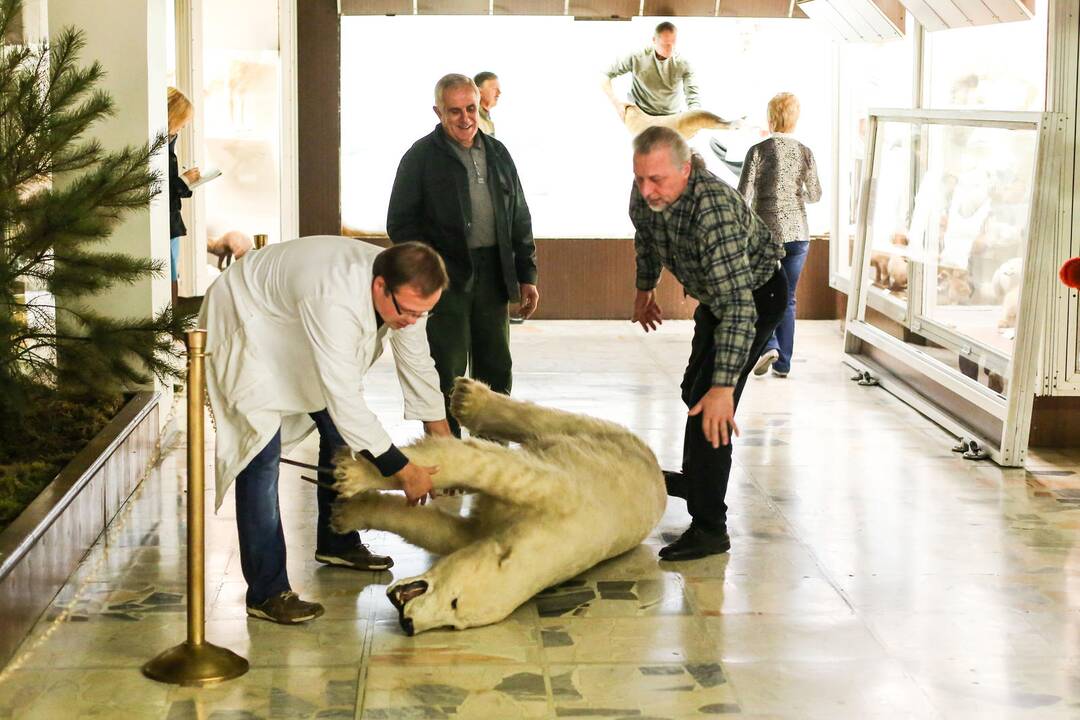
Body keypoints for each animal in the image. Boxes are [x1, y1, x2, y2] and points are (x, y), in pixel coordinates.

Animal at [328, 377, 665, 634]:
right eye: (456, 601)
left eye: (454, 619)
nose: (408, 624)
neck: (545, 541)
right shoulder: (563, 498)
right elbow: (495, 470)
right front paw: (354, 475)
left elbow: (447, 532)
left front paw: (347, 512)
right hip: (614, 442)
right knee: (551, 420)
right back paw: (469, 398)